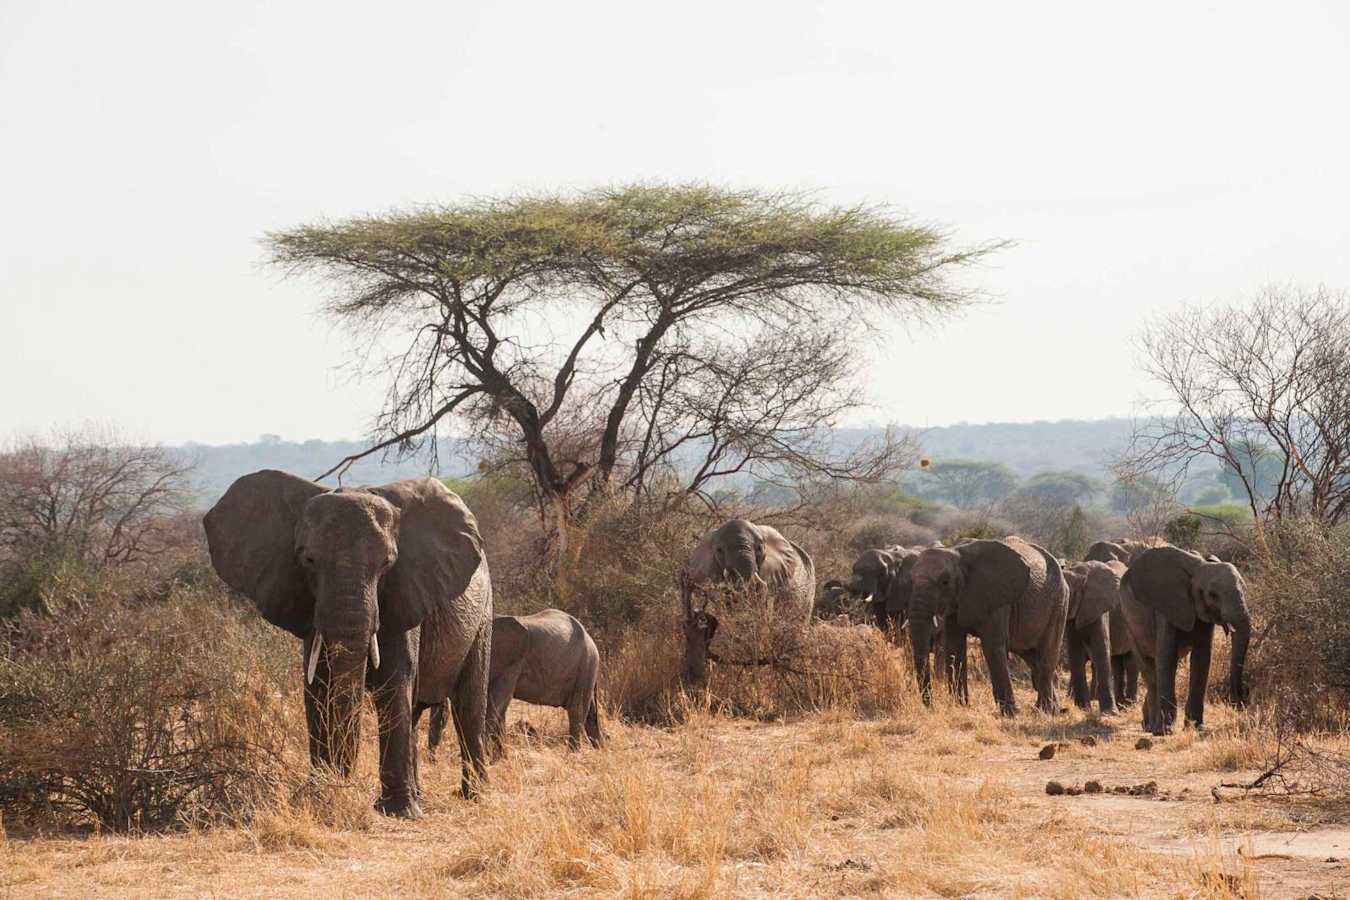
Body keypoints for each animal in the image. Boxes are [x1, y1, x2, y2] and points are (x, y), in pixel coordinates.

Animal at [202, 470, 492, 817]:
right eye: (307, 560)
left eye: (387, 563)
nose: (342, 783)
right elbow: (316, 688)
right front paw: (319, 797)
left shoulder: (404, 595)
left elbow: (395, 684)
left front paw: (397, 813)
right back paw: (421, 796)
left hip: (483, 616)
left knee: (469, 705)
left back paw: (473, 796)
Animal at [431, 609, 602, 757]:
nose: (433, 759)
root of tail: (590, 638)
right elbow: (500, 708)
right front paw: (500, 759)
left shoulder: (513, 663)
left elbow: (498, 702)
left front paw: (491, 758)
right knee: (590, 714)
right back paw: (599, 748)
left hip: (586, 665)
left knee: (577, 710)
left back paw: (573, 755)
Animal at [909, 536, 1069, 715]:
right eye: (911, 581)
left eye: (945, 582)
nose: (932, 707)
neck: (958, 554)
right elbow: (954, 647)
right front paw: (961, 706)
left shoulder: (998, 599)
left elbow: (992, 647)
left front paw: (1011, 714)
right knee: (1033, 659)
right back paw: (1051, 710)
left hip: (1059, 603)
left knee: (1046, 657)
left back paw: (1046, 712)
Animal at [1061, 560, 1126, 715]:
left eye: (1067, 594)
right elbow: (1075, 652)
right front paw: (1083, 708)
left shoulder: (1099, 607)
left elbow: (1101, 649)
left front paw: (1110, 713)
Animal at [1120, 545, 1251, 734]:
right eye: (1212, 595)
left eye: (1244, 590)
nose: (1241, 700)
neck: (1199, 567)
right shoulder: (1166, 606)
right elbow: (1166, 657)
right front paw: (1166, 730)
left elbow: (1202, 658)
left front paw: (1196, 727)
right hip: (1128, 621)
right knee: (1149, 669)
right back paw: (1154, 728)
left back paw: (1147, 725)